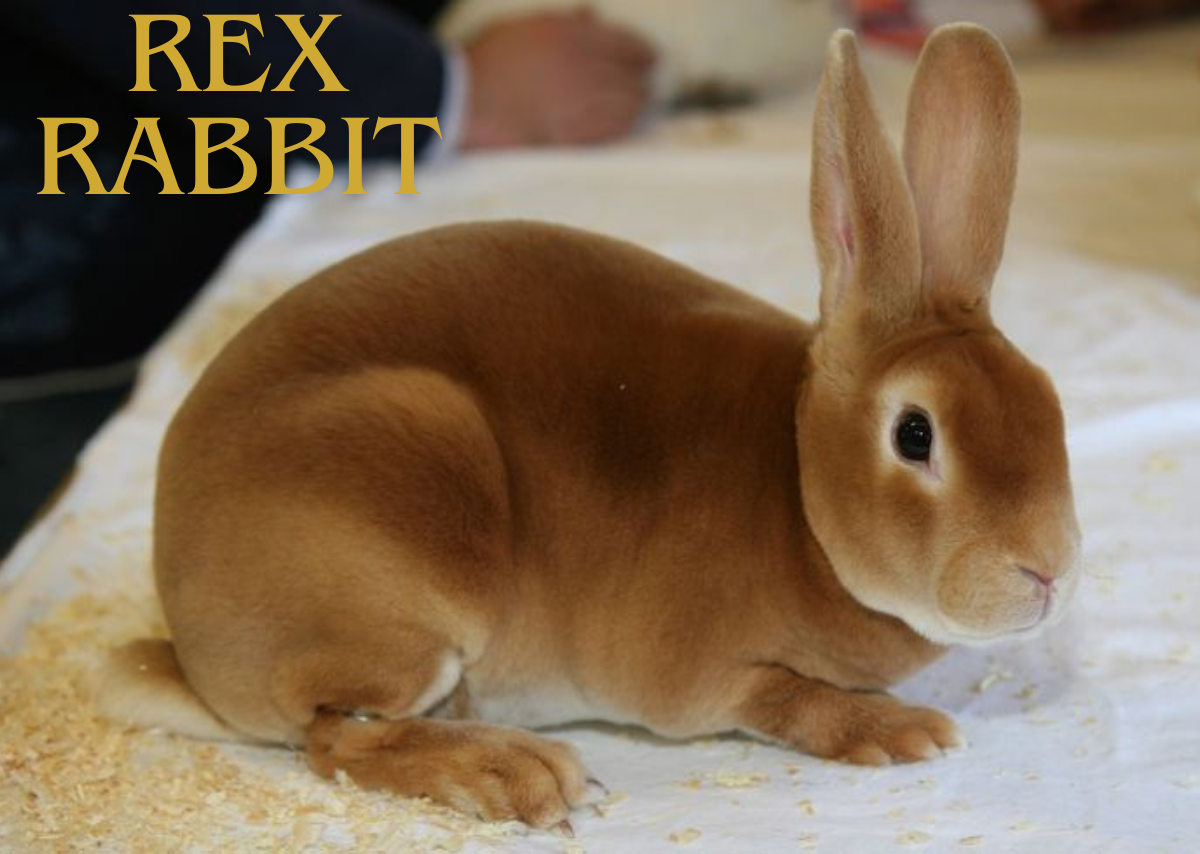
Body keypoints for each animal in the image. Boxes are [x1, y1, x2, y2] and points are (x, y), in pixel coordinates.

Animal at [98, 24, 1081, 830]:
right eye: (916, 434)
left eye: (1048, 397)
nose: (1048, 573)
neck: (797, 489)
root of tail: (193, 647)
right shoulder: (705, 679)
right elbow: (786, 701)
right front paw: (904, 730)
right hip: (403, 565)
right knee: (336, 736)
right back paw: (517, 772)